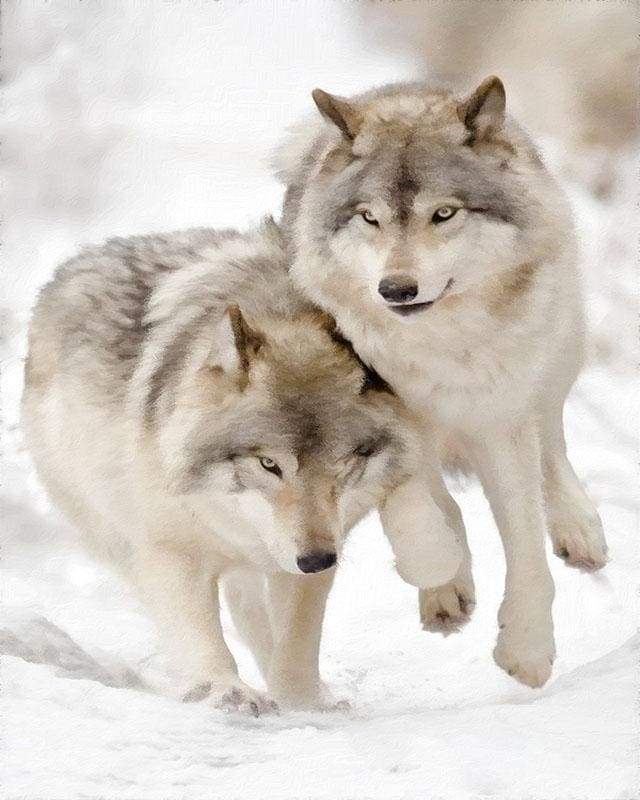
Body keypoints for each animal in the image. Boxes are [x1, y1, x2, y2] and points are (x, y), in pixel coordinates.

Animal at [22, 219, 452, 713]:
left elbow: (295, 644)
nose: (316, 559)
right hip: (117, 534)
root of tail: (76, 262)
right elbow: (202, 637)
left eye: (344, 463)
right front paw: (223, 689)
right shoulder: (173, 551)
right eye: (268, 463)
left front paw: (304, 702)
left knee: (250, 611)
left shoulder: (314, 550)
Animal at [275, 77, 608, 687]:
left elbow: (527, 545)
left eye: (444, 213)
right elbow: (412, 509)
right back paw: (447, 589)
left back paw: (580, 532)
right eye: (370, 218)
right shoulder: (378, 413)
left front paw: (527, 650)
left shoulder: (502, 421)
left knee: (552, 445)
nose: (395, 289)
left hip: (557, 358)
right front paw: (437, 569)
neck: (440, 349)